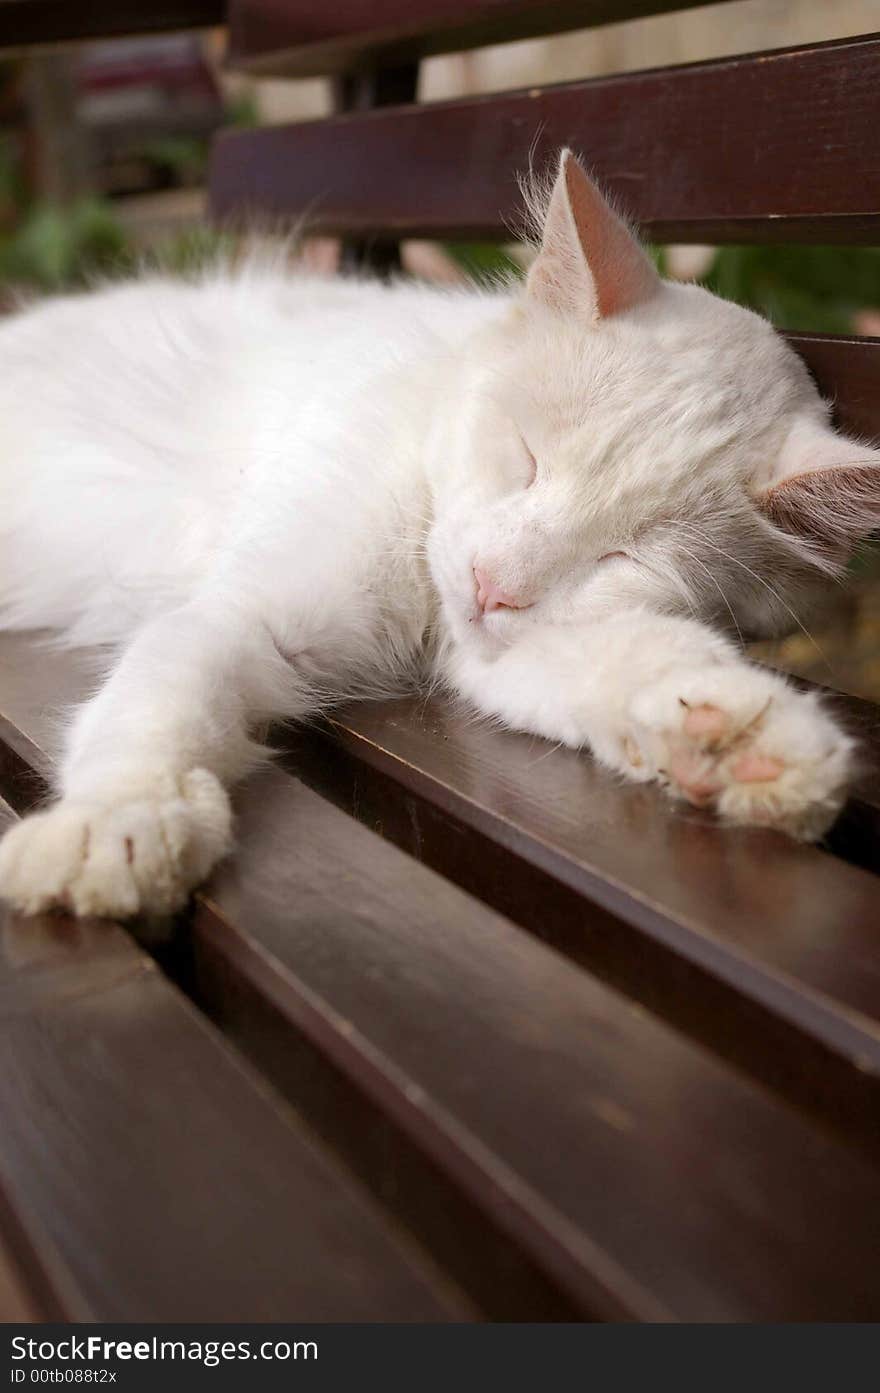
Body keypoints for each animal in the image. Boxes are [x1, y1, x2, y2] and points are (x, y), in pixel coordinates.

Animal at [1, 152, 880, 919]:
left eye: (624, 556)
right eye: (525, 458)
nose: (492, 585)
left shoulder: (492, 649)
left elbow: (642, 656)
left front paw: (740, 739)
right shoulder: (244, 613)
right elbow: (159, 706)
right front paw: (116, 825)